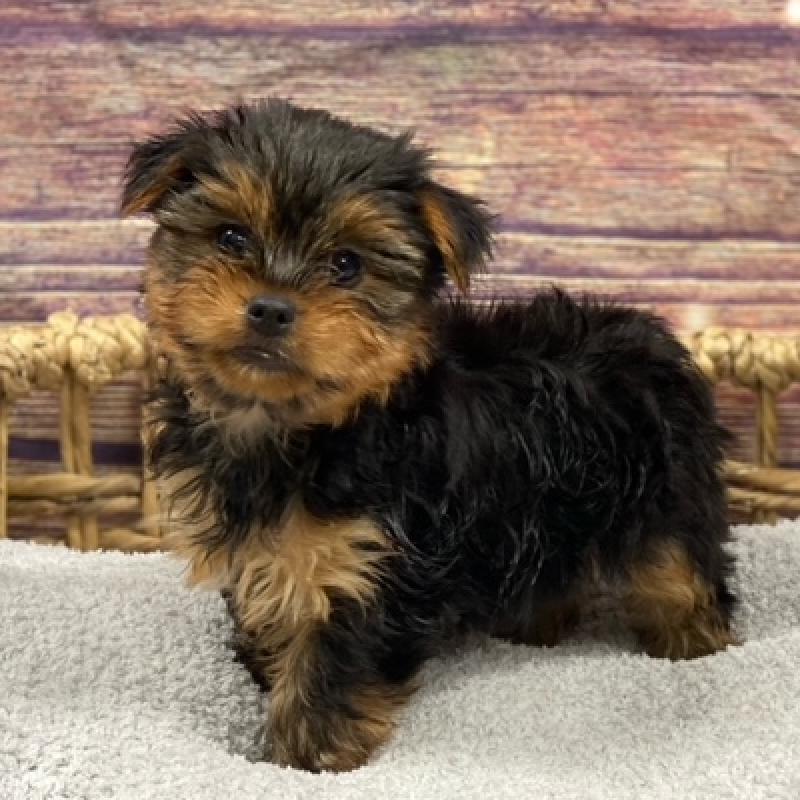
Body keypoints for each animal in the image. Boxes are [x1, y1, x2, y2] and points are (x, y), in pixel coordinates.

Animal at [123, 99, 736, 772]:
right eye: (230, 237)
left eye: (347, 265)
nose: (271, 308)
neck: (299, 425)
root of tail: (653, 340)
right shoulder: (276, 554)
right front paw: (266, 671)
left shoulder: (366, 564)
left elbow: (329, 666)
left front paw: (307, 753)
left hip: (663, 498)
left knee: (683, 568)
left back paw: (693, 638)